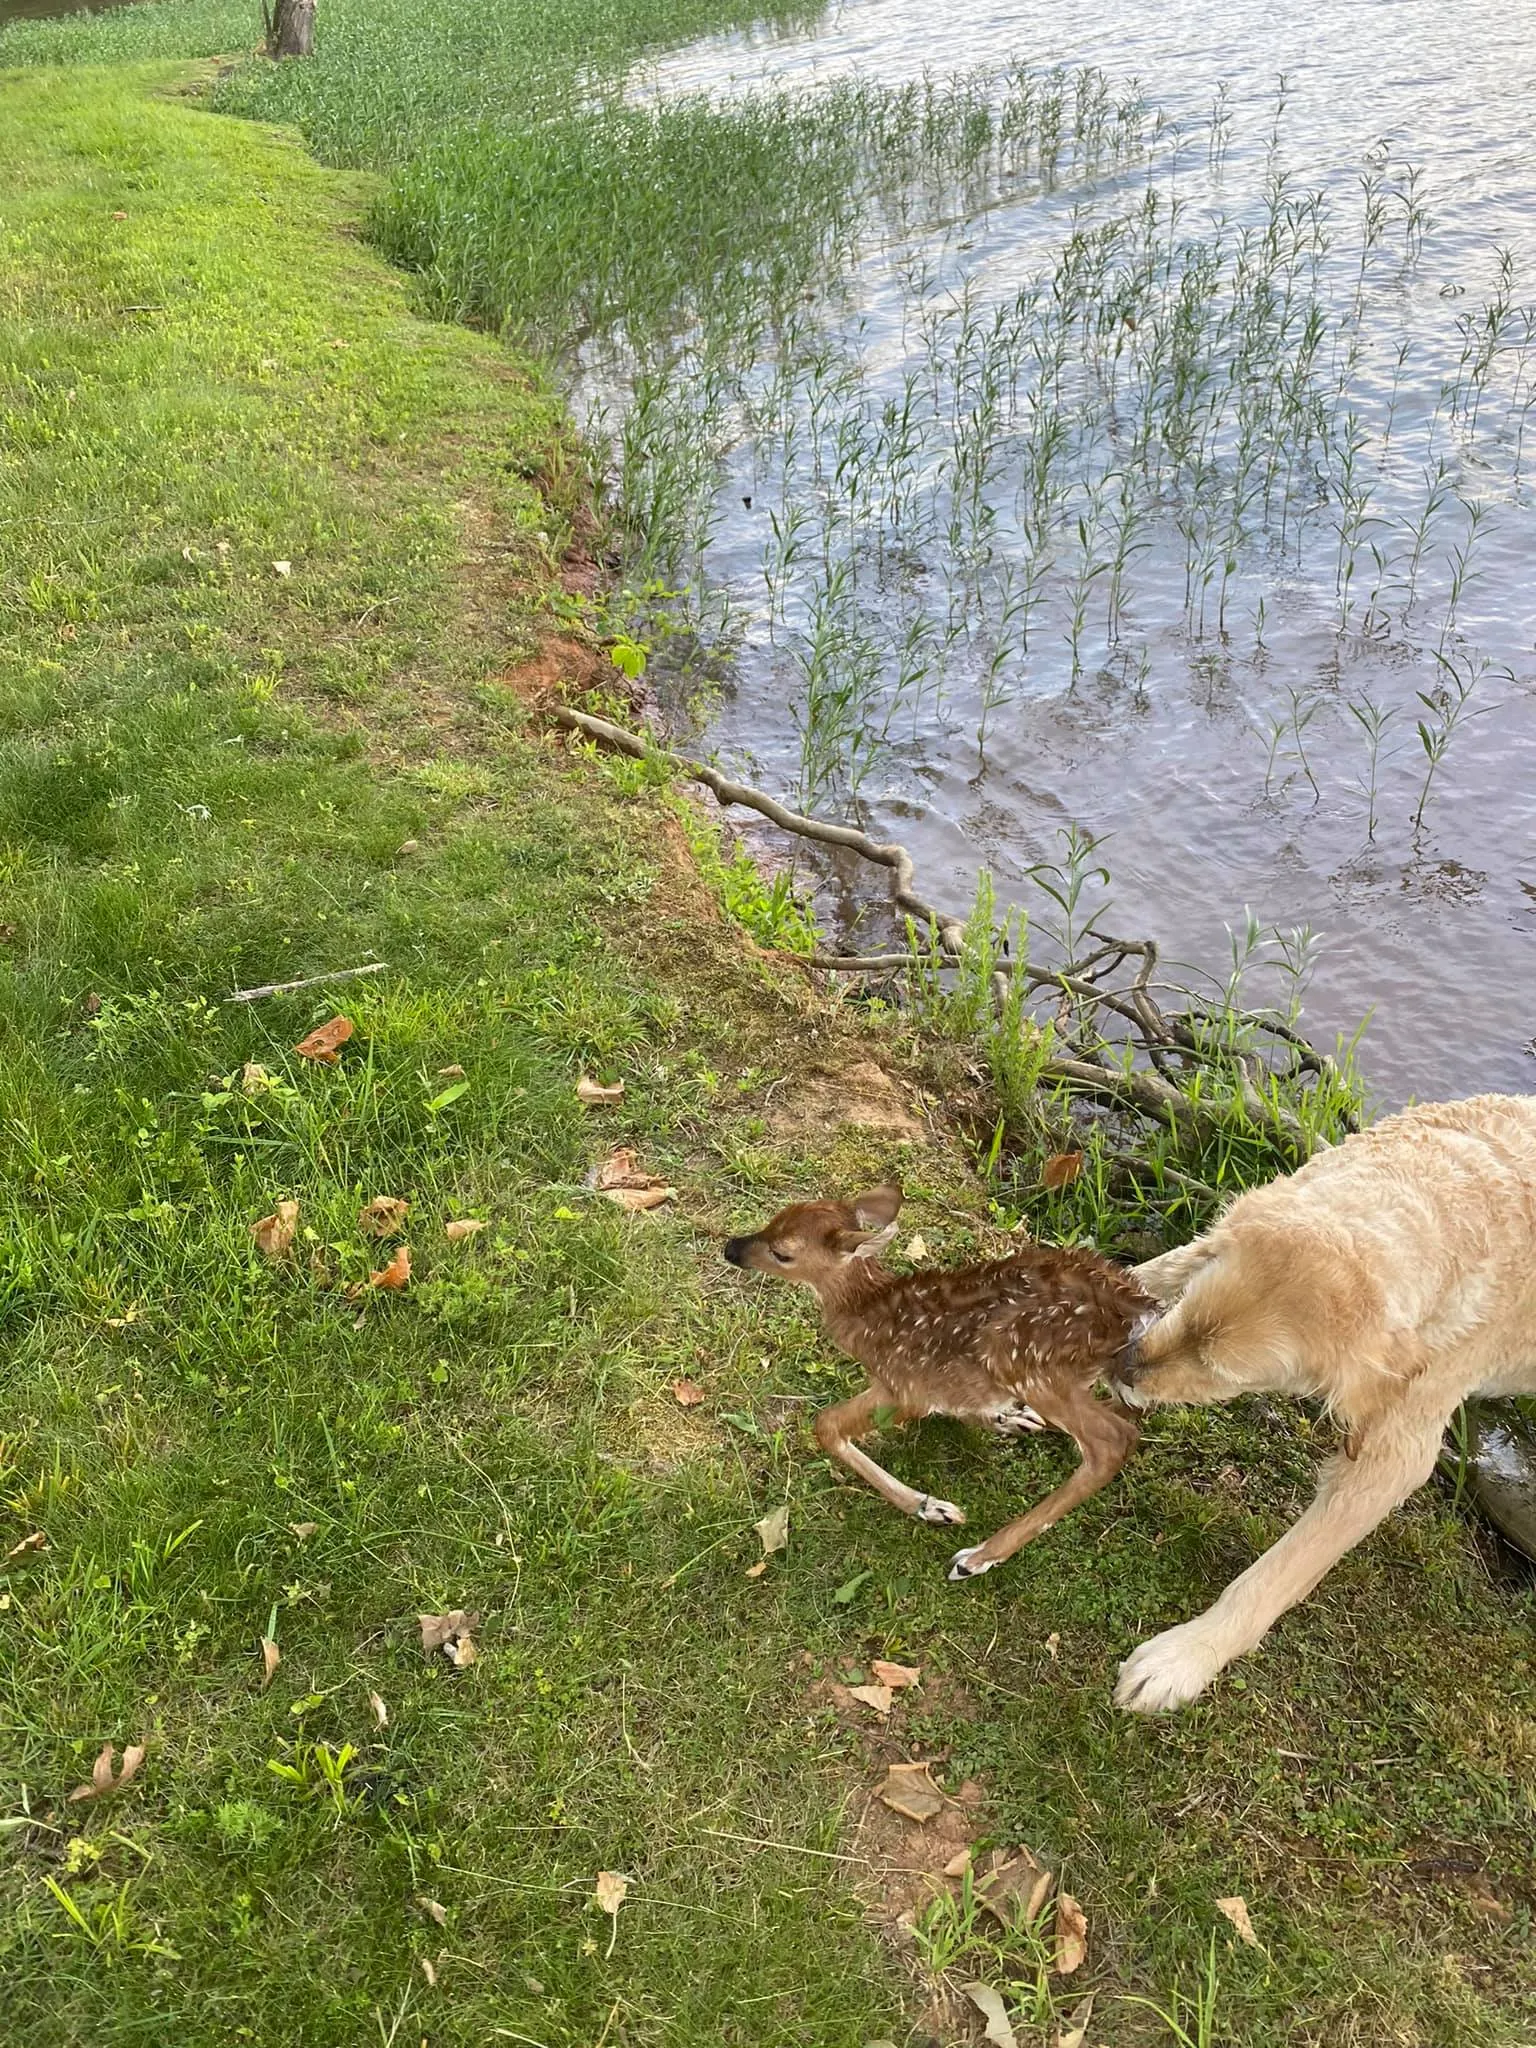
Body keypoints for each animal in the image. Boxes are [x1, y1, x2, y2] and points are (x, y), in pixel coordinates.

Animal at [1122, 1089, 1536, 1712]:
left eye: (1219, 1371)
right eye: (1189, 1311)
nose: (1122, 1368)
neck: (1443, 1198)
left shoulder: (1391, 1458)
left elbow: (1277, 1574)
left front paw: (1184, 1657)